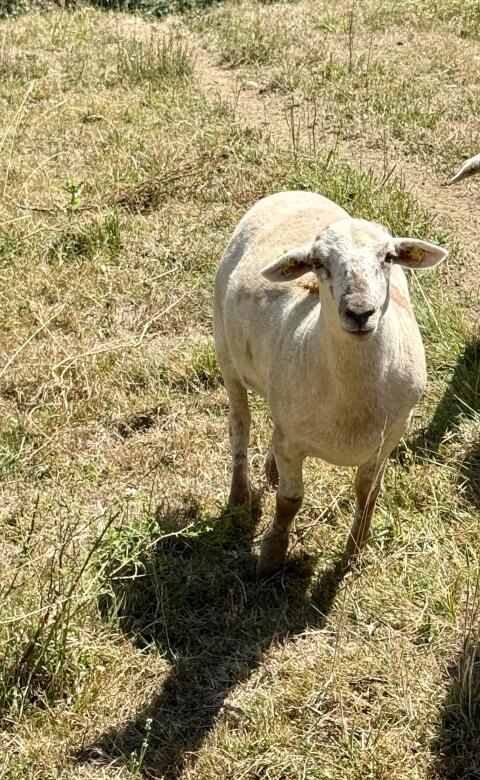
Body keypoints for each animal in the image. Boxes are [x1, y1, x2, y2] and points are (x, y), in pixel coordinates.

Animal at [214, 191, 448, 578]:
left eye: (388, 257)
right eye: (318, 263)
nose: (359, 312)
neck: (353, 399)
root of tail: (294, 191)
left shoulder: (389, 436)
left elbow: (368, 493)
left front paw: (355, 550)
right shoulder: (292, 441)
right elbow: (289, 501)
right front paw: (272, 555)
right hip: (225, 354)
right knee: (239, 425)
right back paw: (239, 496)